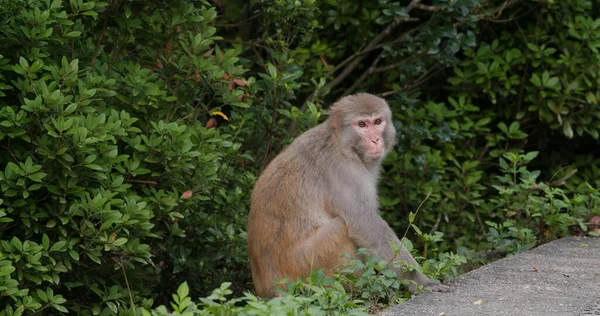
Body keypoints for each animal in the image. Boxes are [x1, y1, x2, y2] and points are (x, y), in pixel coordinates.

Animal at [245, 92, 450, 298]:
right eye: (362, 125)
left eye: (377, 121)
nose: (375, 139)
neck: (342, 144)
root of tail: (267, 288)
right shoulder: (344, 171)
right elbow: (364, 224)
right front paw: (419, 280)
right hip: (305, 267)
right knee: (341, 228)